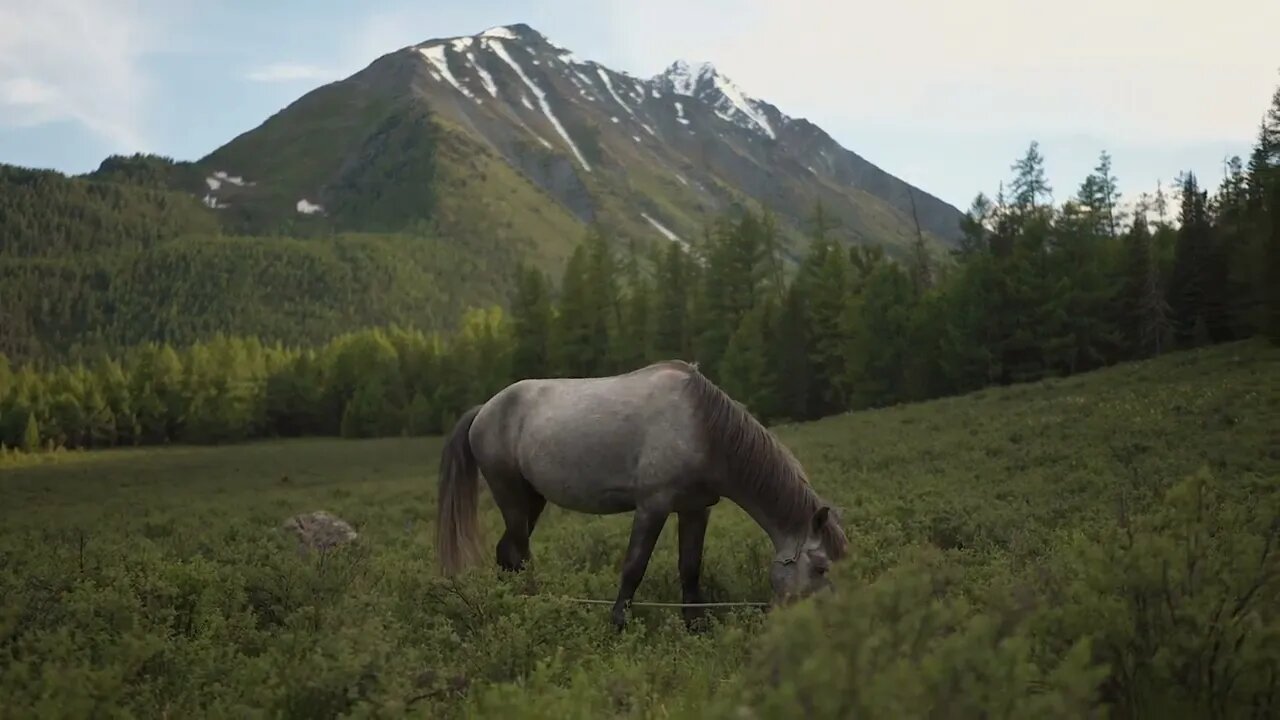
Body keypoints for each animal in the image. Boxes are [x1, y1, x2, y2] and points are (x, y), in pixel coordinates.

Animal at [437, 356, 849, 625]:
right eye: (821, 567)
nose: (834, 617)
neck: (700, 427)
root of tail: (484, 410)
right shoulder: (653, 506)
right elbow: (634, 567)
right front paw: (618, 624)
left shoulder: (696, 509)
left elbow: (690, 569)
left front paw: (695, 626)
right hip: (511, 496)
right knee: (519, 555)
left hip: (532, 500)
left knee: (507, 553)